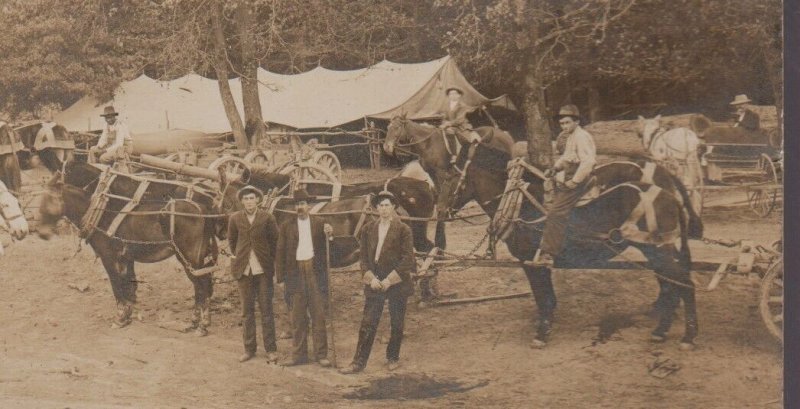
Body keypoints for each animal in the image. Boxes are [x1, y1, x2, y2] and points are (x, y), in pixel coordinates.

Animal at [39, 158, 241, 334]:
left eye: (46, 201)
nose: (40, 232)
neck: (102, 209)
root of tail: (205, 209)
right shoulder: (126, 256)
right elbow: (128, 282)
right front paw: (129, 312)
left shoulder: (109, 257)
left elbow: (117, 286)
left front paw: (120, 318)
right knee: (203, 285)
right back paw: (196, 321)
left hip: (189, 257)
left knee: (202, 284)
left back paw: (202, 325)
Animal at [434, 145, 696, 350]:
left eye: (449, 176)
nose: (439, 212)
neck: (521, 205)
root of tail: (669, 194)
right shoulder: (538, 263)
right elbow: (547, 297)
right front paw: (546, 324)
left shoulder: (531, 262)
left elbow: (544, 298)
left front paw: (542, 333)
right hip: (655, 250)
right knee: (671, 284)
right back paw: (661, 329)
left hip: (657, 250)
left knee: (683, 283)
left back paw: (686, 336)